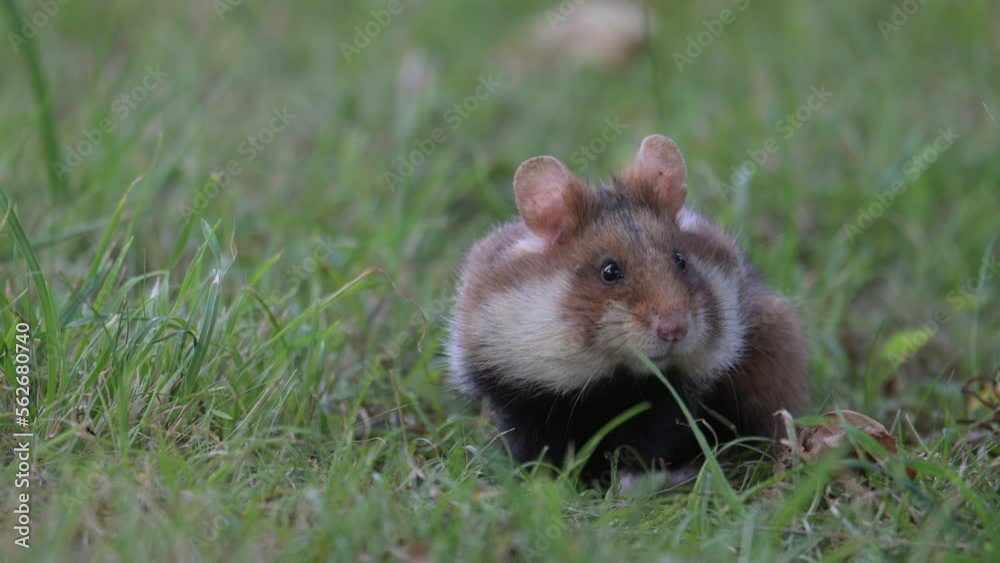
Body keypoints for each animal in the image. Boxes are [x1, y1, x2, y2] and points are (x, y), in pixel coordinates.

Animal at [447, 134, 810, 482]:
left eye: (681, 260)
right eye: (610, 271)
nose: (675, 329)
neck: (608, 372)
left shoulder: (674, 396)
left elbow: (651, 442)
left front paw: (630, 480)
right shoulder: (521, 392)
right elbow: (537, 446)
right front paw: (546, 481)